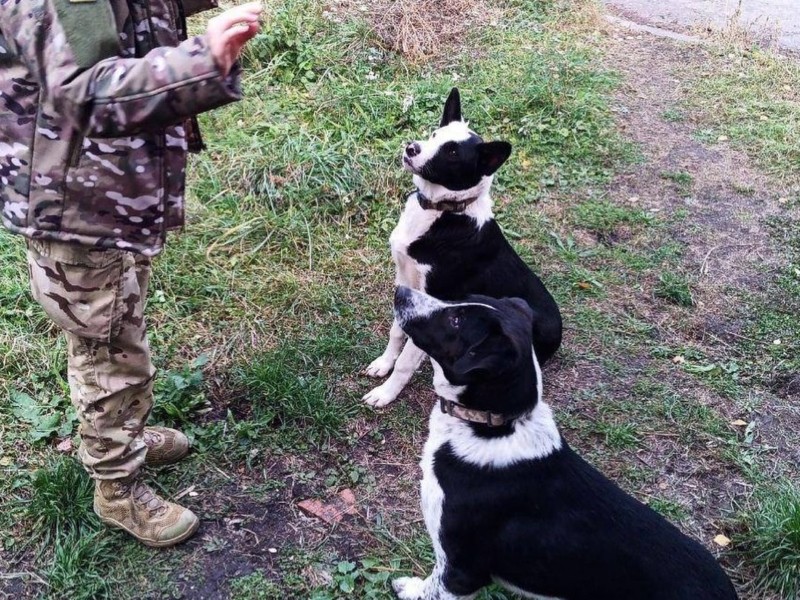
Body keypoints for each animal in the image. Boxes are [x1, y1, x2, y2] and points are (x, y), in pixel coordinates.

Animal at [364, 88, 560, 408]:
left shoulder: (433, 302)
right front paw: (383, 363)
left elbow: (406, 360)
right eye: (434, 135)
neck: (444, 212)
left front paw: (386, 393)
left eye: (453, 153)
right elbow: (396, 331)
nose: (411, 148)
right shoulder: (405, 281)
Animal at [388, 286, 736, 600]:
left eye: (456, 320)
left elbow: (432, 588)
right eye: (460, 300)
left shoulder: (462, 570)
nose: (400, 291)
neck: (495, 426)